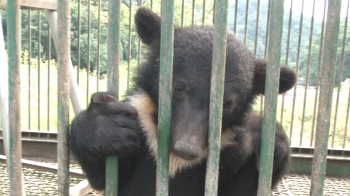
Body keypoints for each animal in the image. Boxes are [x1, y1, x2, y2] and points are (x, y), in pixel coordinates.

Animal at [69, 6, 296, 195]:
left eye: (226, 105)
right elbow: (105, 177)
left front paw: (270, 139)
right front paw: (105, 125)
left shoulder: (228, 149)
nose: (187, 149)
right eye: (179, 87)